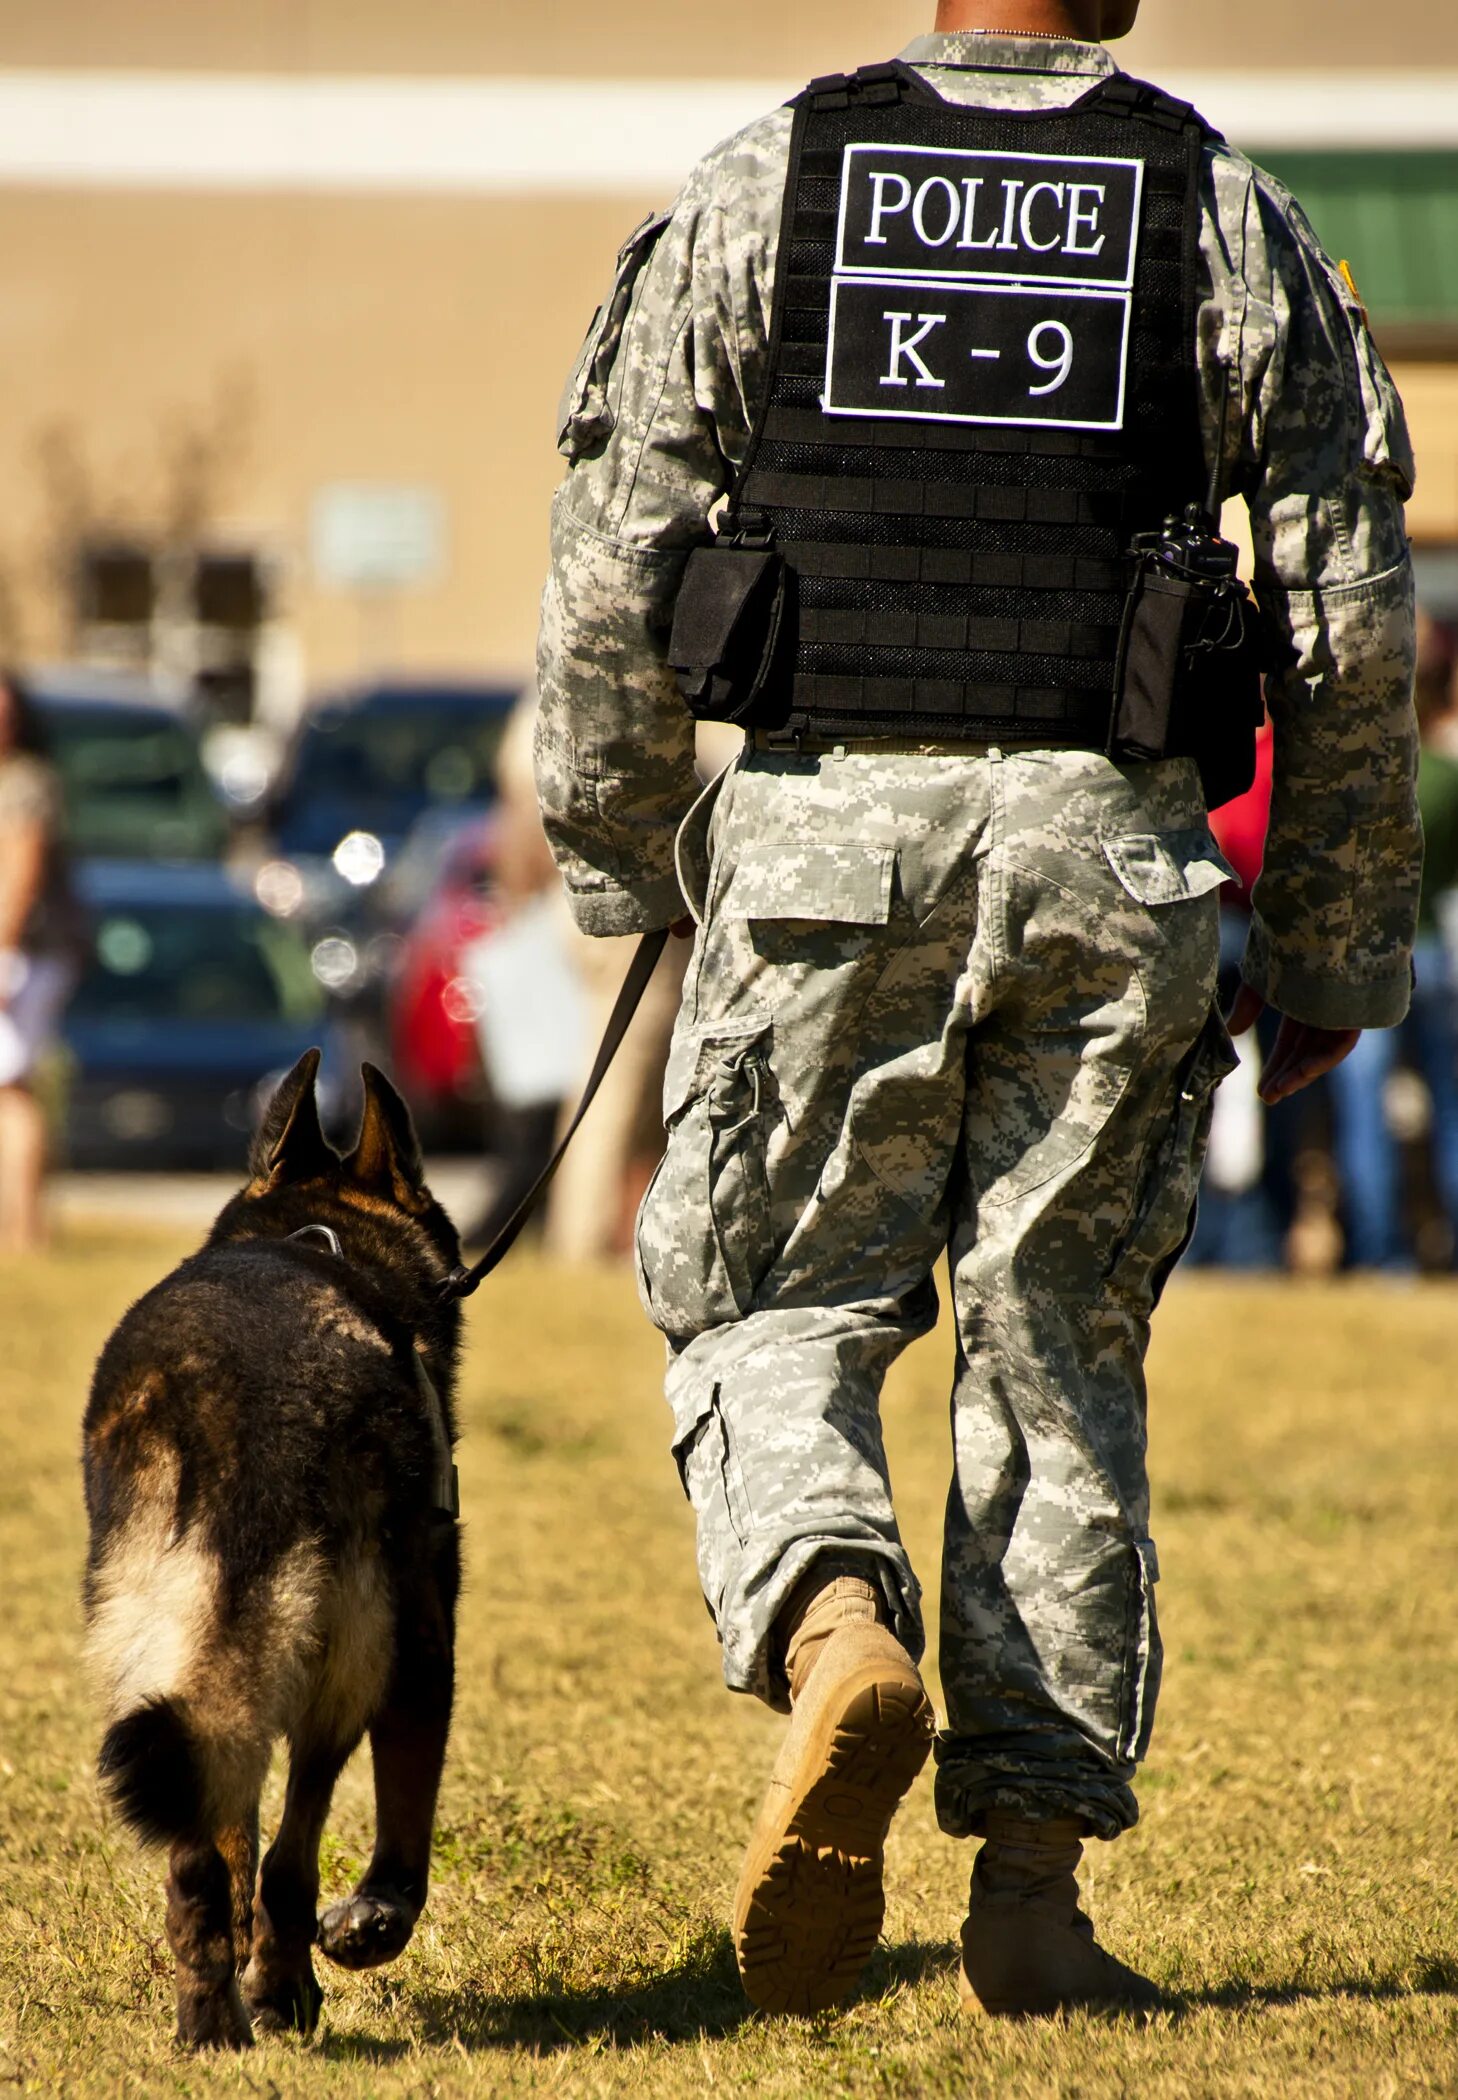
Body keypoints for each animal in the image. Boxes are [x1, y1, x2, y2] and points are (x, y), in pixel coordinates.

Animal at [78, 1058, 462, 2041]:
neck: (322, 1239)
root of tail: (232, 1400)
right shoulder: (421, 1637)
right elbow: (398, 1810)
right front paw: (374, 1921)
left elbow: (236, 1832)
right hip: (352, 1643)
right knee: (293, 1853)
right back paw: (283, 1991)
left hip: (165, 1632)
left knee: (200, 1853)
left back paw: (213, 2026)